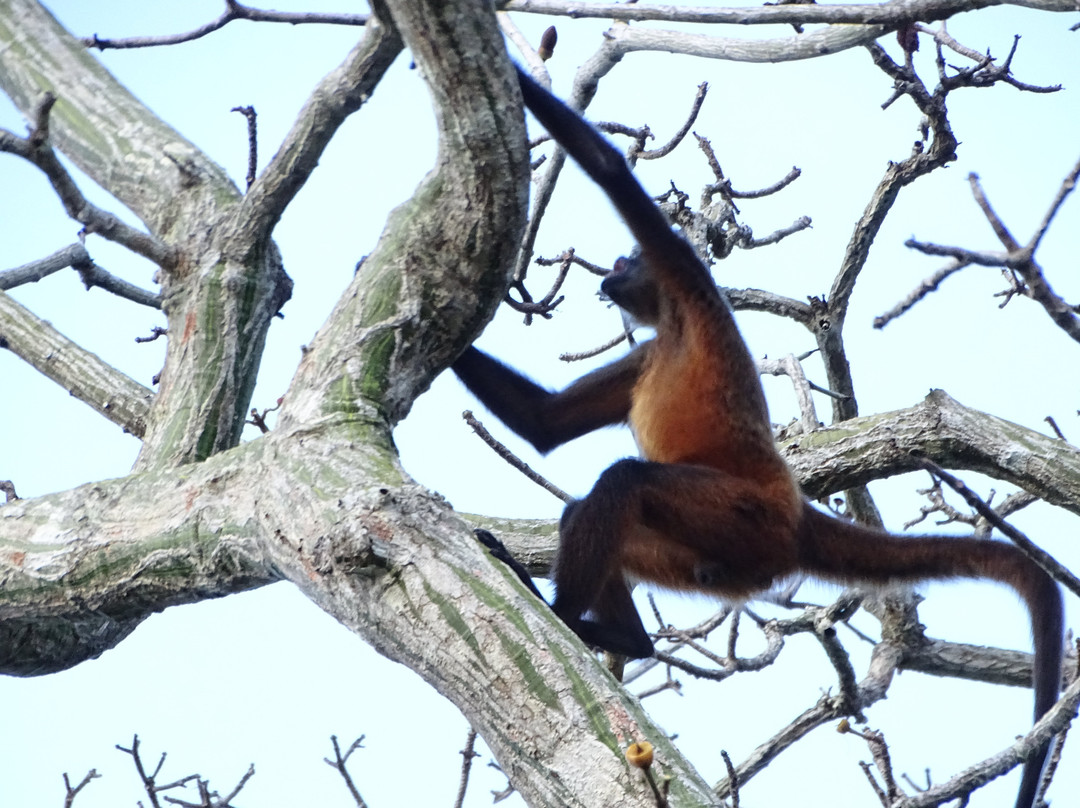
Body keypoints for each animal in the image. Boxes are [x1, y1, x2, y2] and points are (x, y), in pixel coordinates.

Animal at [449, 67, 1062, 808]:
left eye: (625, 259)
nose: (609, 274)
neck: (673, 324)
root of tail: (794, 513)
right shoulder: (645, 351)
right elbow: (541, 424)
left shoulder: (686, 277)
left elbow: (606, 165)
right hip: (710, 555)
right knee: (591, 510)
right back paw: (626, 637)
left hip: (740, 519)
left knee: (625, 481)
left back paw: (559, 610)